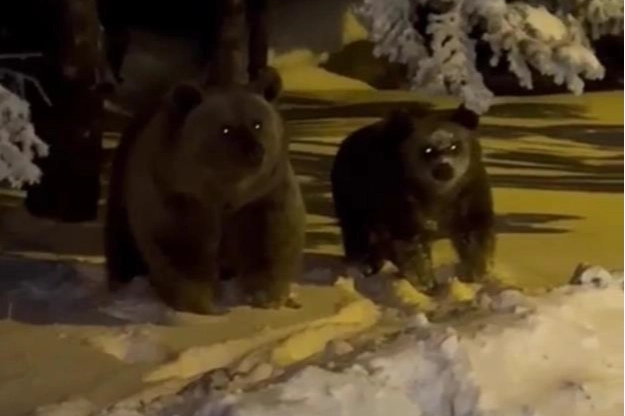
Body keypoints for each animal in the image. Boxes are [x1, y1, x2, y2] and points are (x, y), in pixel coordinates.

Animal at [104, 68, 306, 314]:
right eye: (225, 129)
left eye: (257, 123)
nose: (255, 151)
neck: (225, 191)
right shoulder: (176, 194)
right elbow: (181, 248)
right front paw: (200, 303)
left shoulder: (263, 194)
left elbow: (270, 240)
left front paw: (265, 296)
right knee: (123, 245)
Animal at [331, 106, 496, 291]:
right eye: (427, 150)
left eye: (454, 146)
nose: (444, 169)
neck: (439, 197)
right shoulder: (401, 209)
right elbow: (412, 250)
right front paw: (427, 286)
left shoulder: (470, 198)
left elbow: (474, 239)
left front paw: (475, 277)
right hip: (352, 204)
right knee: (358, 235)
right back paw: (365, 265)